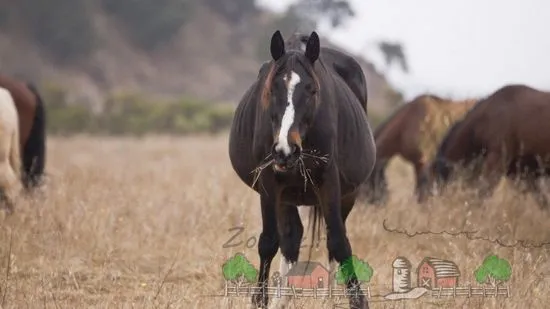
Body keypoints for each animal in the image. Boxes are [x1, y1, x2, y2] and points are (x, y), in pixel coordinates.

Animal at [227, 29, 376, 308]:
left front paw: (357, 300)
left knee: (329, 239)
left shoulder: (329, 182)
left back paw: (328, 298)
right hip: (286, 196)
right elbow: (269, 241)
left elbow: (339, 241)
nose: (286, 149)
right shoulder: (269, 182)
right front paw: (260, 299)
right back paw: (282, 299)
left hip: (347, 194)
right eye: (271, 88)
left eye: (313, 90)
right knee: (291, 238)